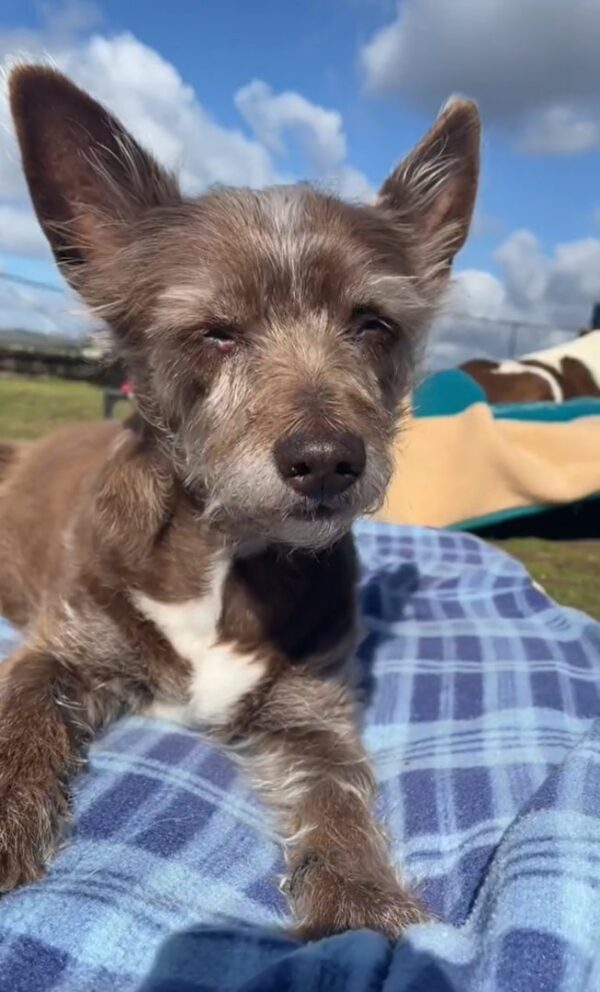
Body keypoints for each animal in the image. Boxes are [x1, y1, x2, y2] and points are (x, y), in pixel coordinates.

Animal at [0, 68, 478, 936]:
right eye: (216, 331)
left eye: (372, 324)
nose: (326, 462)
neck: (223, 552)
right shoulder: (61, 648)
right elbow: (21, 718)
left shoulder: (311, 709)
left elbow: (336, 795)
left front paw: (358, 905)